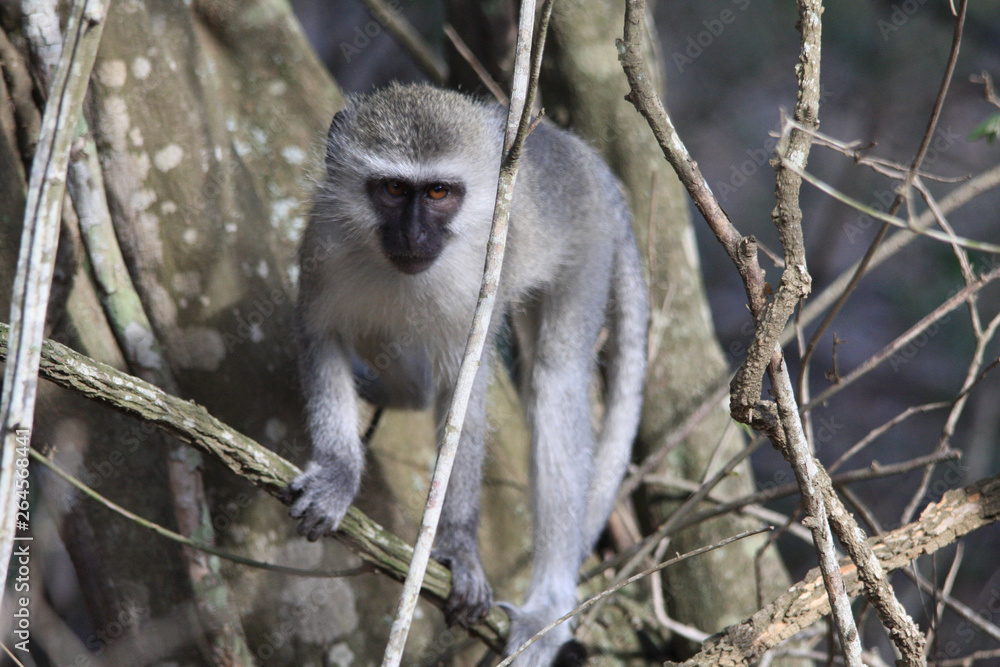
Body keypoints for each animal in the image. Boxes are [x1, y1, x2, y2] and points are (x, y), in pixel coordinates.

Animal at [282, 83, 648, 666]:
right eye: (392, 189)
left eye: (438, 193)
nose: (412, 234)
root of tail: (582, 154)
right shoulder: (322, 248)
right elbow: (323, 338)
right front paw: (339, 475)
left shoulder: (480, 289)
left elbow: (464, 397)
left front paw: (455, 545)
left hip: (589, 245)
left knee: (556, 380)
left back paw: (548, 605)